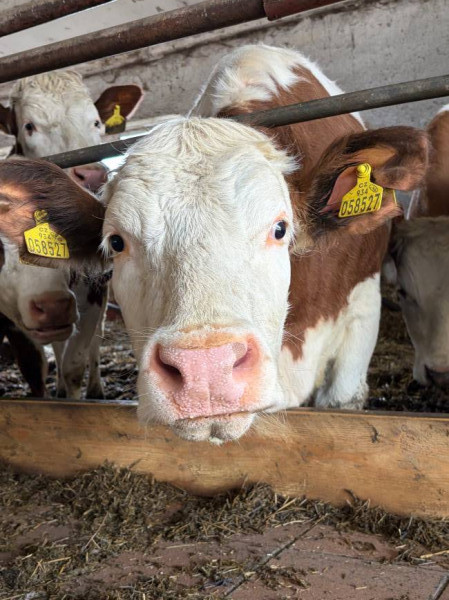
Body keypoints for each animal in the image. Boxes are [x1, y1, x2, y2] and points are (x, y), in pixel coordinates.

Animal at [0, 70, 142, 398]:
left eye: (96, 122)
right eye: (29, 126)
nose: (92, 176)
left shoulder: (94, 291)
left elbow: (74, 363)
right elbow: (35, 368)